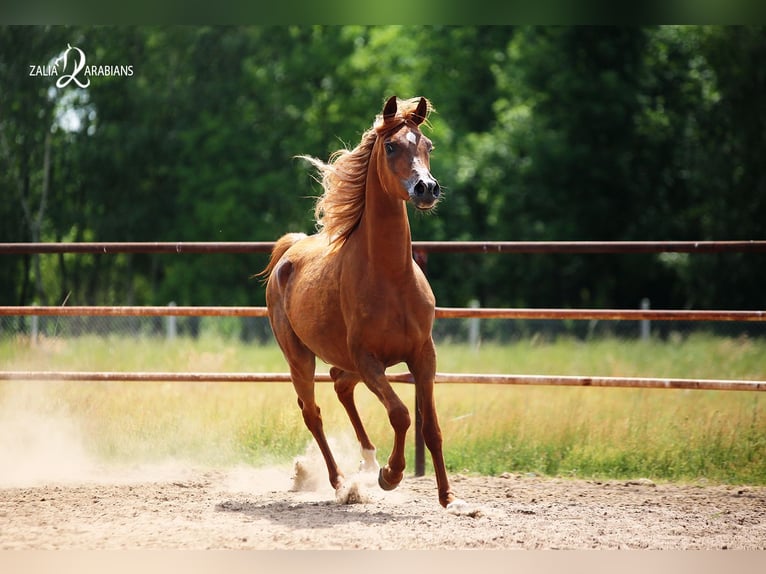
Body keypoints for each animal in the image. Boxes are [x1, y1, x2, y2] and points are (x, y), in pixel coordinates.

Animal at [260, 97, 460, 510]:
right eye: (391, 146)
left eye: (428, 146)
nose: (426, 188)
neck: (391, 277)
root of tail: (290, 252)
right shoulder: (369, 360)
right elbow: (401, 414)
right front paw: (391, 475)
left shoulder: (423, 355)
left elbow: (431, 427)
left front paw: (449, 497)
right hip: (300, 359)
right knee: (313, 412)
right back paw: (341, 482)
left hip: (346, 361)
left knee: (340, 384)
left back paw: (366, 459)